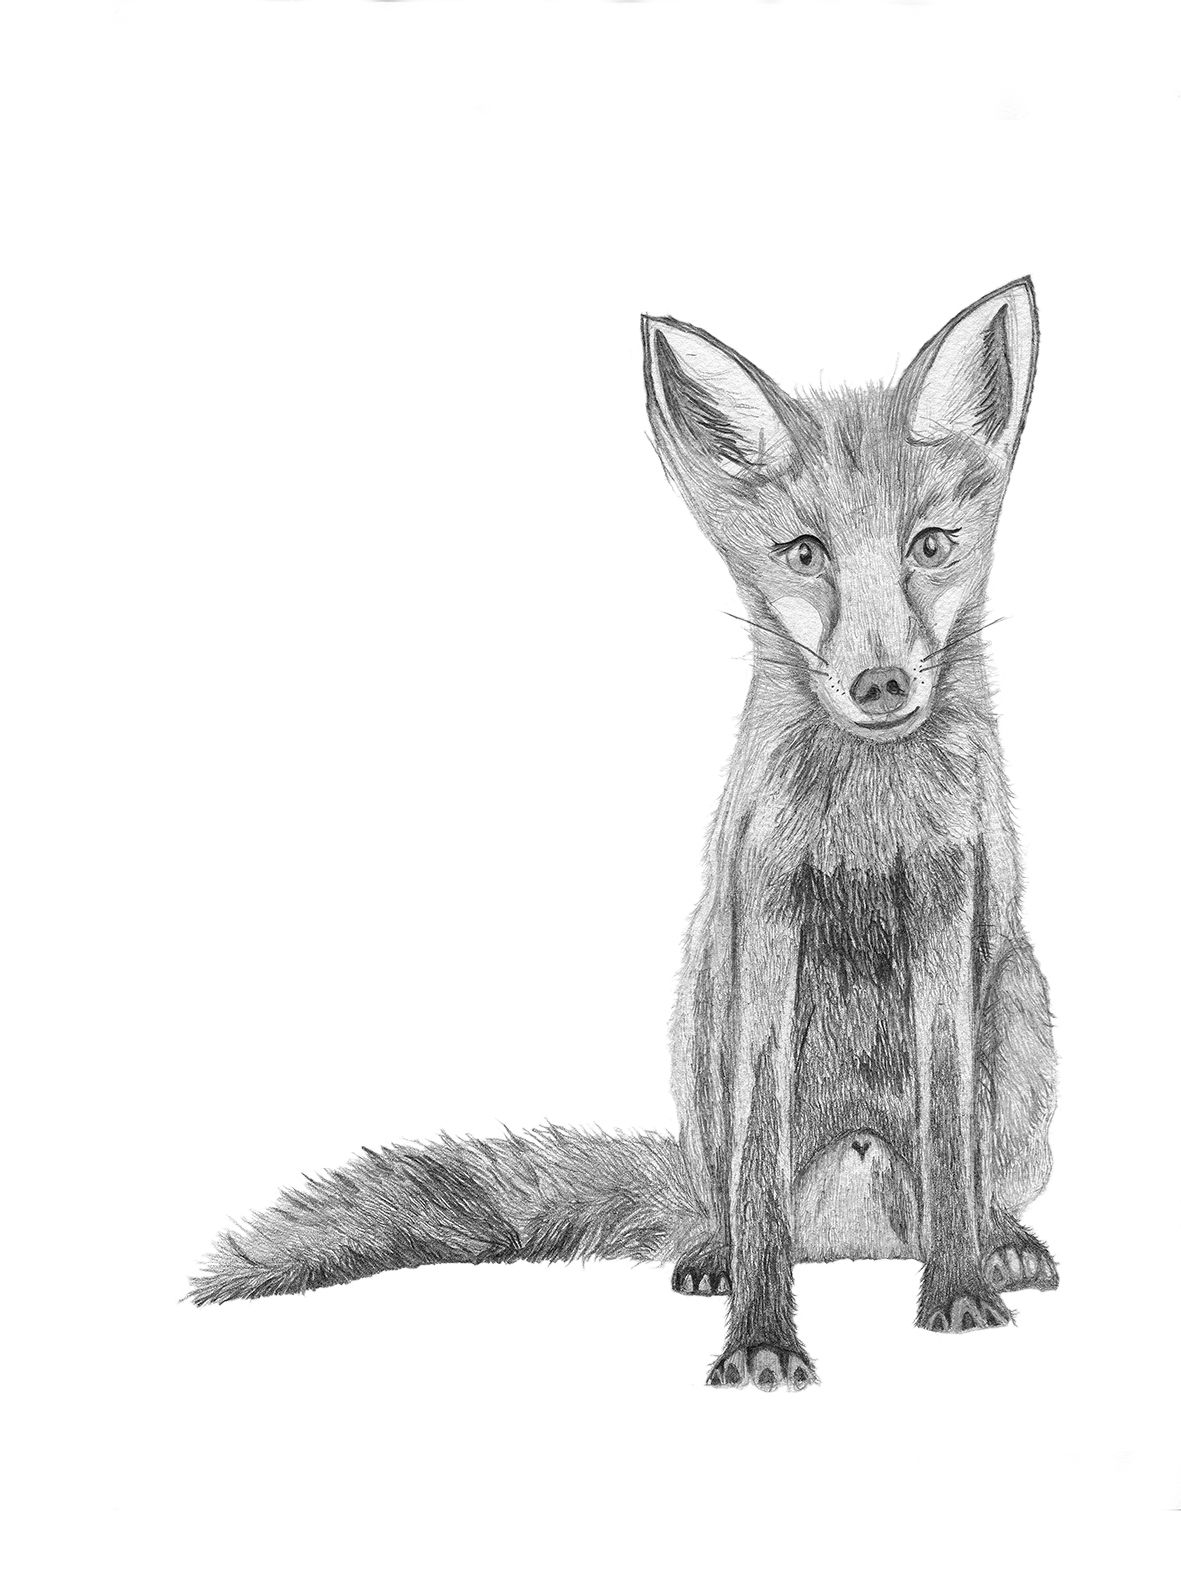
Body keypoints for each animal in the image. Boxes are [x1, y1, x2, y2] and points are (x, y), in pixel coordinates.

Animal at [192, 279, 1057, 1391]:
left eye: (930, 545)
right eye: (804, 554)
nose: (879, 685)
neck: (866, 820)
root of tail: (858, 1232)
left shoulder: (947, 900)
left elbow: (949, 1127)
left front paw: (956, 1294)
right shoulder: (764, 909)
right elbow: (757, 1165)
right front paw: (760, 1335)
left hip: (1022, 1016)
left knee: (978, 1178)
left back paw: (1000, 1244)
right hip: (698, 1011)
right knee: (724, 1193)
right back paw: (714, 1253)